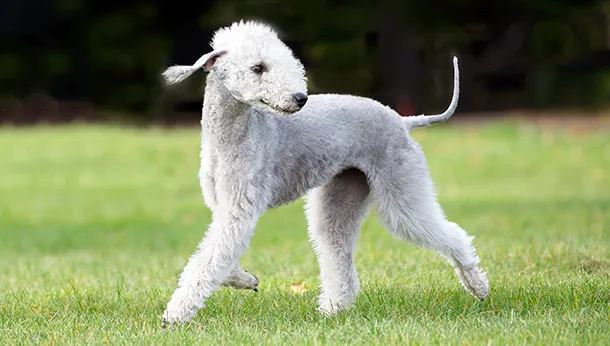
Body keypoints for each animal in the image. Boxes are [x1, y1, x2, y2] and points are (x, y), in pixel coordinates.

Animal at [159, 19, 486, 328]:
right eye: (258, 68)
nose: (300, 98)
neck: (234, 134)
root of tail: (402, 120)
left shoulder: (239, 209)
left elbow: (209, 260)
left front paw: (174, 316)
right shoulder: (224, 208)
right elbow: (218, 256)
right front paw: (245, 279)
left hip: (401, 191)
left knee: (452, 234)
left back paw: (479, 286)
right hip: (342, 194)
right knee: (339, 254)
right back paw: (333, 310)